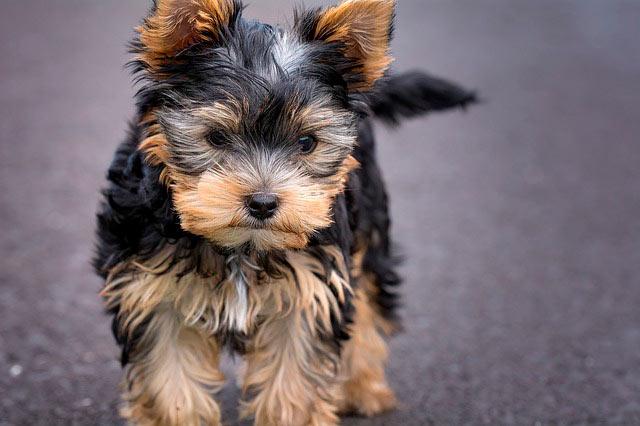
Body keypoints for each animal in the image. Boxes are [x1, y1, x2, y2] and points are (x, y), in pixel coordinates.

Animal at [94, 0, 476, 422]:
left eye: (307, 142)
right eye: (216, 137)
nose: (263, 203)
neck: (242, 247)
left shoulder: (310, 291)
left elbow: (294, 383)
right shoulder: (153, 293)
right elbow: (170, 384)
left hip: (369, 224)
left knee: (367, 302)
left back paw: (363, 389)